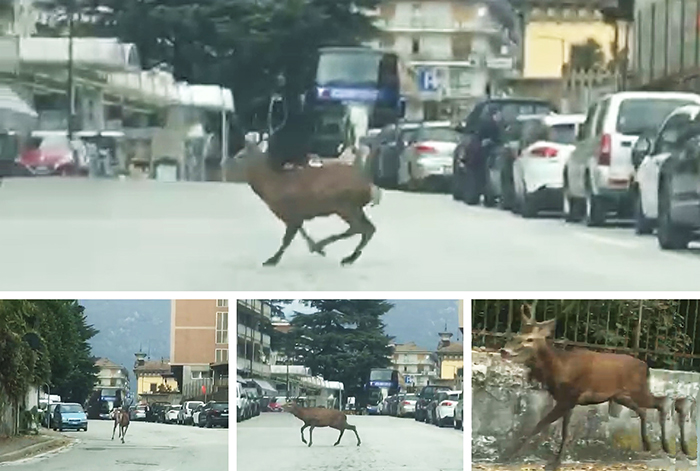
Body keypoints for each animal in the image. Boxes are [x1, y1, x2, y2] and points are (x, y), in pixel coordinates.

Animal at [234, 139, 381, 267]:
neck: (271, 185)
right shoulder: (297, 214)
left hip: (345, 205)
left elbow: (287, 240)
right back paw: (349, 258)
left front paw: (272, 260)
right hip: (354, 207)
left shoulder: (292, 213)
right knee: (369, 228)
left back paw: (328, 247)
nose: (229, 161)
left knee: (359, 227)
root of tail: (370, 186)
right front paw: (316, 249)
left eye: (241, 155)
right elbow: (301, 233)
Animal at [499, 304, 676, 471]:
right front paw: (555, 462)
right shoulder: (566, 400)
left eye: (529, 339)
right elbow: (564, 432)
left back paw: (666, 447)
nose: (504, 351)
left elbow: (540, 425)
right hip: (621, 396)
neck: (560, 368)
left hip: (638, 389)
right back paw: (648, 445)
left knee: (662, 401)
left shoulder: (570, 396)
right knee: (643, 410)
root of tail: (646, 368)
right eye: (515, 336)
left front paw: (511, 455)